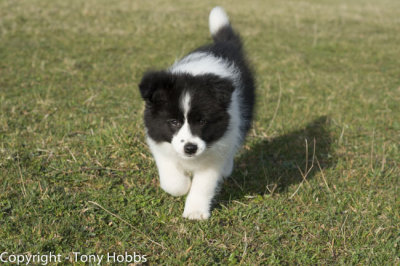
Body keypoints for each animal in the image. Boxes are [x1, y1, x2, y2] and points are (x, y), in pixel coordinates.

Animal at [139, 6, 255, 220]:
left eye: (202, 121)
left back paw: (226, 168)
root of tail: (225, 45)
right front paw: (182, 185)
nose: (190, 148)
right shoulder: (158, 137)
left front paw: (195, 212)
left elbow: (204, 184)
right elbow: (172, 180)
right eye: (173, 122)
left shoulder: (216, 151)